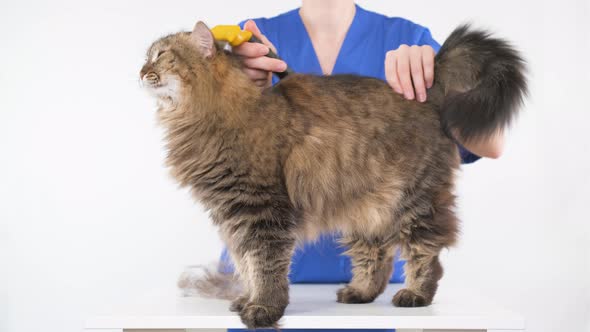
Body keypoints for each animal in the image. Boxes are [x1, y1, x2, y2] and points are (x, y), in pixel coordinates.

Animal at [141, 21, 528, 330]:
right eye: (148, 57)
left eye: (160, 56)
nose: (141, 71)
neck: (209, 114)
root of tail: (427, 92)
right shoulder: (233, 216)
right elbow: (245, 263)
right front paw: (247, 299)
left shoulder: (261, 212)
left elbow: (264, 265)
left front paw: (263, 308)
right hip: (365, 208)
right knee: (377, 257)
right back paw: (361, 292)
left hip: (416, 202)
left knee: (425, 252)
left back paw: (415, 294)